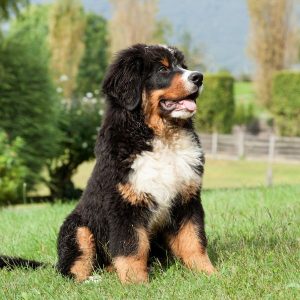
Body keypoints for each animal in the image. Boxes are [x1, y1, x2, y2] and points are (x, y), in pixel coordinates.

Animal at [0, 44, 216, 284]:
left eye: (183, 66)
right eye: (162, 69)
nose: (199, 77)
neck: (162, 138)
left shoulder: (187, 199)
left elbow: (193, 241)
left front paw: (209, 275)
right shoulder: (124, 204)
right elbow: (132, 247)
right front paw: (137, 284)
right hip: (78, 229)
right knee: (70, 270)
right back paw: (92, 281)